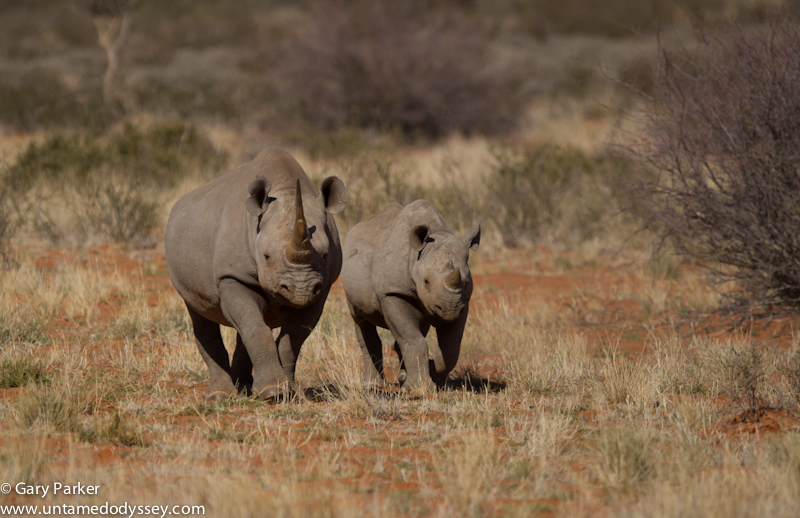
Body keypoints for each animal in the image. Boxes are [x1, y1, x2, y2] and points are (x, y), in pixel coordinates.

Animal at [166, 146, 344, 402]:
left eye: (326, 254)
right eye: (267, 257)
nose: (300, 289)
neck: (287, 190)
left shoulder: (324, 286)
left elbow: (293, 338)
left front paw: (290, 393)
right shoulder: (232, 275)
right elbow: (256, 329)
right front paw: (272, 392)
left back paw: (244, 388)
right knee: (201, 312)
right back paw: (219, 395)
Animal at [340, 201, 478, 392]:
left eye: (465, 282)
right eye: (426, 281)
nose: (450, 309)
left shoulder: (464, 301)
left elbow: (450, 348)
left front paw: (433, 375)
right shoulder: (392, 292)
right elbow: (413, 340)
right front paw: (419, 387)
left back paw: (402, 377)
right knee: (360, 319)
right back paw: (372, 384)